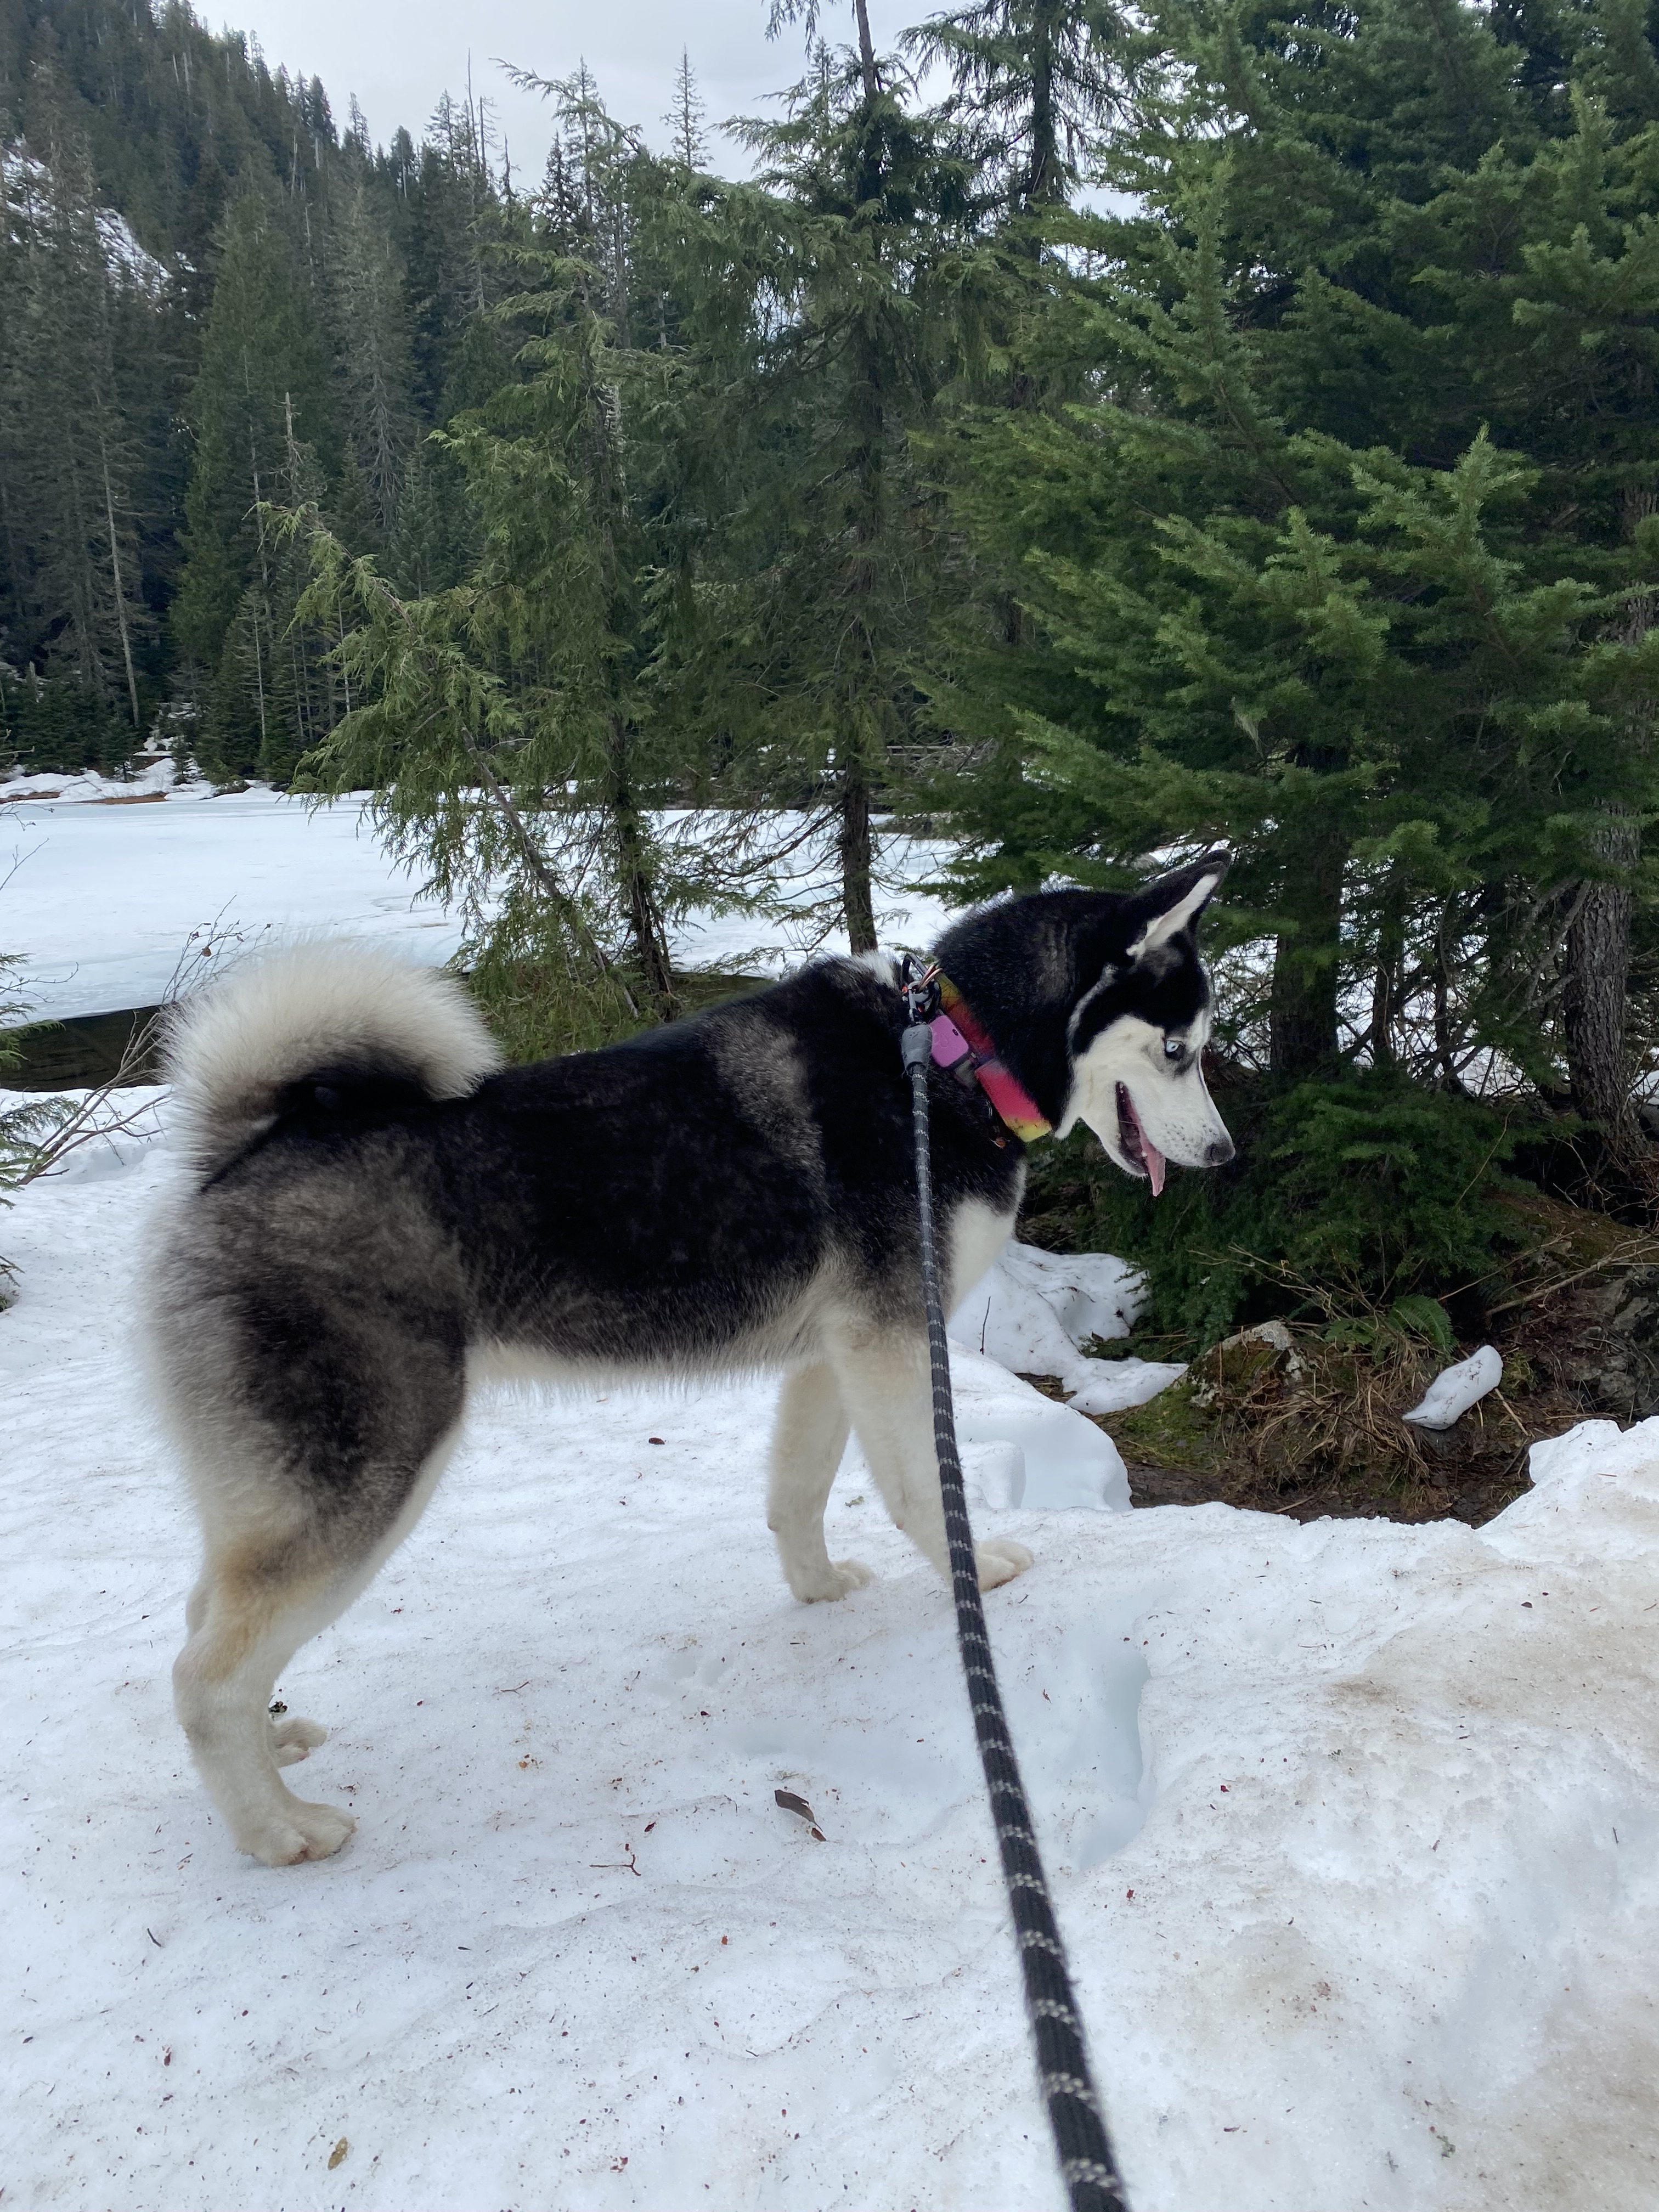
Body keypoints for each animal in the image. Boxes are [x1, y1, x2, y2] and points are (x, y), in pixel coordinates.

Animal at [153, 851, 1233, 1864]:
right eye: (1178, 1050)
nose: (1225, 1156)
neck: (951, 1057)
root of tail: (243, 1153)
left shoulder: (832, 1350)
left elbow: (796, 1492)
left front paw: (817, 1591)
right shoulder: (892, 1336)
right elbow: (921, 1486)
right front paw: (979, 1571)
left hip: (280, 1488)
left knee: (206, 1613)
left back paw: (276, 1747)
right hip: (364, 1478)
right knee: (203, 1675)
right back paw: (277, 1830)